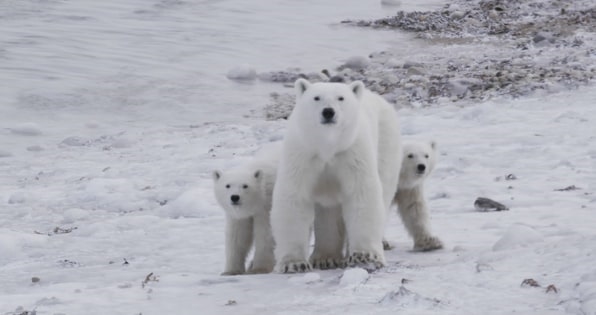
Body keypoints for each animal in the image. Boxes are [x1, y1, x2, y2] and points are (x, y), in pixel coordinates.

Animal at [272, 78, 402, 272]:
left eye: (341, 98)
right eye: (316, 97)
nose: (328, 112)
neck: (328, 147)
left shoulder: (352, 153)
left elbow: (362, 195)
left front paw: (364, 257)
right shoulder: (303, 155)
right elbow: (293, 198)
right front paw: (294, 263)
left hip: (386, 143)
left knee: (384, 191)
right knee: (328, 212)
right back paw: (325, 258)